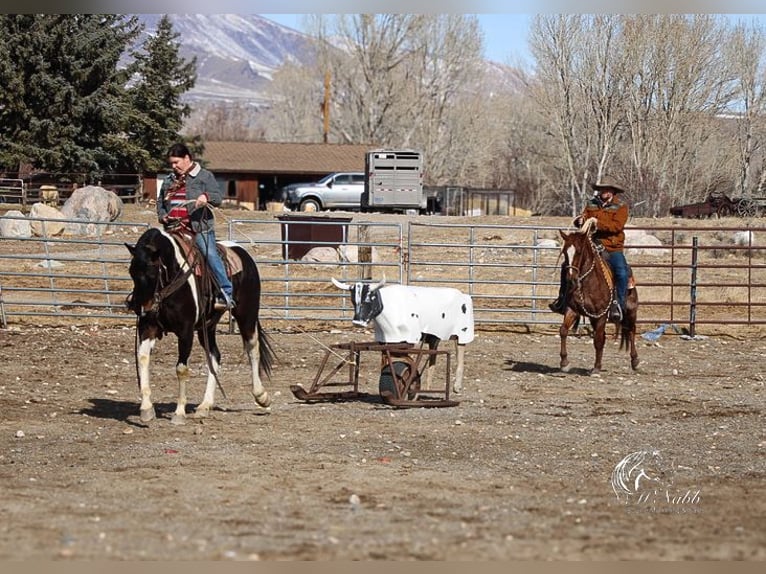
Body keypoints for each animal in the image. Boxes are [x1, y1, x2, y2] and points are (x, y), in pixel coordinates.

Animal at [128, 227, 276, 426]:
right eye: (131, 272)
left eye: (152, 273)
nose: (141, 307)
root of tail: (243, 254)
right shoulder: (147, 327)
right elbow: (143, 358)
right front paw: (146, 409)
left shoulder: (186, 331)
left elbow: (181, 369)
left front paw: (179, 413)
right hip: (208, 326)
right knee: (215, 356)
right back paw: (205, 405)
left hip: (247, 314)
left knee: (253, 348)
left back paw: (261, 396)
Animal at [556, 218, 640, 376]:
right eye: (564, 253)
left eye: (579, 251)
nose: (571, 280)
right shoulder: (572, 309)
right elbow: (563, 330)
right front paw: (564, 363)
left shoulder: (601, 314)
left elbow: (598, 340)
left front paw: (596, 368)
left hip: (631, 311)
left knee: (631, 330)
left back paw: (635, 361)